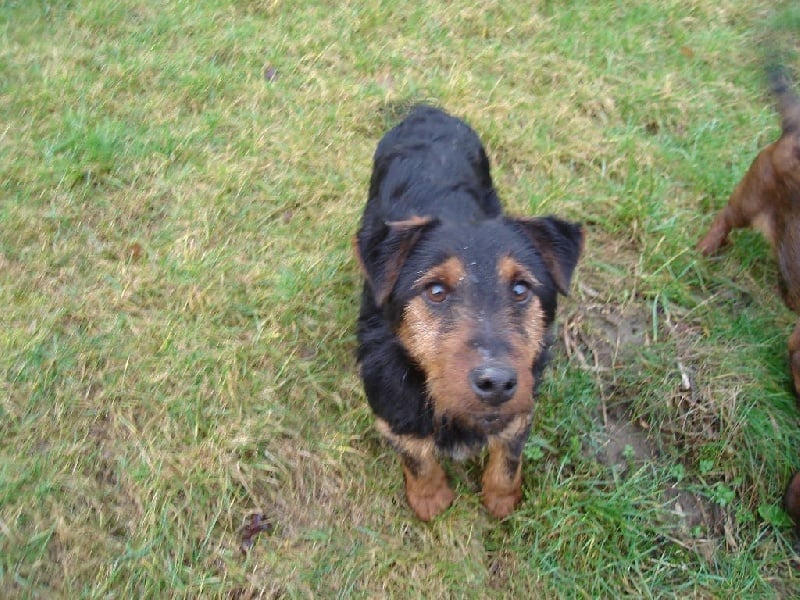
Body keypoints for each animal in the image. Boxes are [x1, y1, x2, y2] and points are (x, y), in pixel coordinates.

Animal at [355, 106, 583, 520]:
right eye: (436, 291)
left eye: (521, 289)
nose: (496, 383)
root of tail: (426, 109)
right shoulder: (394, 412)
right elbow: (418, 458)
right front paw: (430, 498)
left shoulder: (522, 407)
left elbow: (509, 455)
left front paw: (501, 498)